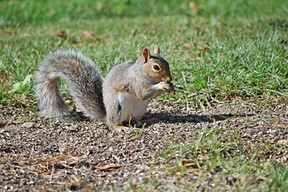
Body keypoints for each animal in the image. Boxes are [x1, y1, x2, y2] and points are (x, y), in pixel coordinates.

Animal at [36, 45, 176, 130]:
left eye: (167, 63)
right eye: (156, 67)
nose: (169, 78)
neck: (141, 73)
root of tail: (106, 116)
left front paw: (171, 86)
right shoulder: (133, 83)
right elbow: (143, 94)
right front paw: (162, 85)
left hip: (139, 110)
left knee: (132, 119)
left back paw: (139, 122)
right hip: (116, 107)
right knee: (112, 123)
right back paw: (119, 127)